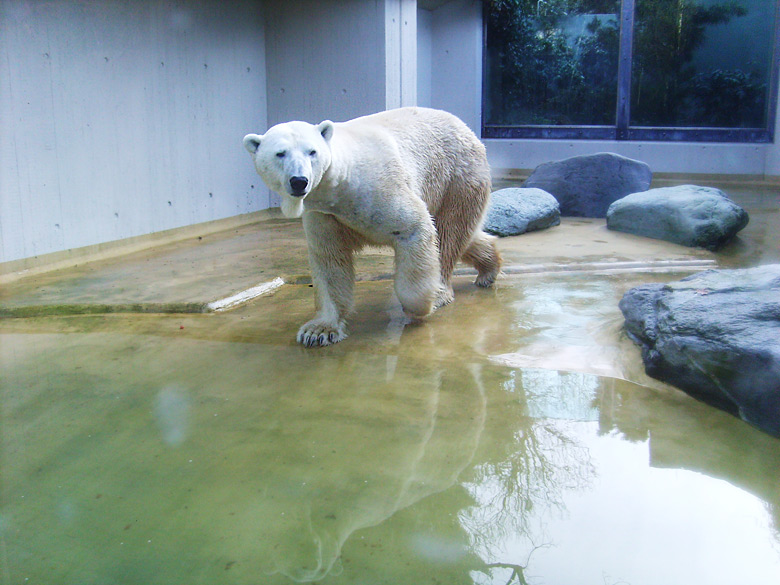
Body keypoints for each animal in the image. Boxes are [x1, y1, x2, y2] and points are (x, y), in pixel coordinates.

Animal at [242, 107, 500, 344]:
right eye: (280, 154)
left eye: (312, 151)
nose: (299, 181)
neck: (341, 183)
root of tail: (468, 131)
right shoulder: (324, 214)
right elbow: (329, 260)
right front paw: (318, 330)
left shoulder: (379, 190)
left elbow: (415, 228)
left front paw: (418, 306)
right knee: (462, 236)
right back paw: (489, 269)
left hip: (456, 178)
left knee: (448, 235)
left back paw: (441, 293)